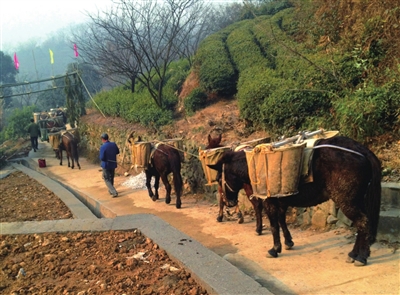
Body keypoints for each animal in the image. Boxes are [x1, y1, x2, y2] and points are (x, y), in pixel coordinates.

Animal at [208, 138, 382, 268]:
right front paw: (288, 242)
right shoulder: (281, 201)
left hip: (347, 200)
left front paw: (274, 249)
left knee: (362, 222)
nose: (229, 203)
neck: (255, 166)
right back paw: (355, 254)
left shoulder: (270, 201)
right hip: (358, 200)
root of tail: (362, 150)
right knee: (363, 224)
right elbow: (281, 221)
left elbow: (274, 225)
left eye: (219, 179)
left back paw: (360, 257)